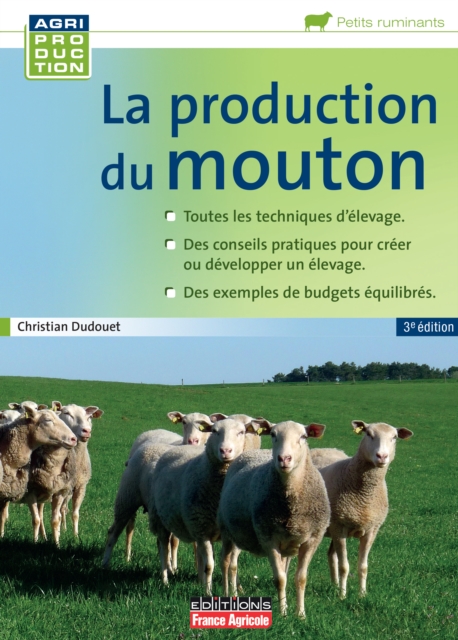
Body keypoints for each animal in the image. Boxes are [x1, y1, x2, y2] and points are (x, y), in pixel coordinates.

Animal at [52, 401, 104, 537]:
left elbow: (75, 514)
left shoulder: (81, 486)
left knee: (63, 508)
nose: (86, 431)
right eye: (67, 413)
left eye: (89, 417)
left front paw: (75, 536)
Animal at [148, 418, 260, 594]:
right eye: (214, 431)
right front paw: (208, 592)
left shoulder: (231, 533)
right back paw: (165, 580)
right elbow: (209, 566)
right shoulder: (202, 530)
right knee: (163, 549)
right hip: (160, 519)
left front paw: (234, 592)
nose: (225, 450)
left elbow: (233, 566)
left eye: (241, 432)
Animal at [218, 420, 330, 617]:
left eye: (303, 436)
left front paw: (300, 614)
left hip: (242, 534)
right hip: (226, 530)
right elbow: (280, 579)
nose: (284, 459)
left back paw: (235, 593)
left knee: (233, 564)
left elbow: (300, 579)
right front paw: (283, 613)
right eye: (273, 434)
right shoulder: (268, 538)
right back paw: (226, 594)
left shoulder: (312, 540)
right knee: (224, 561)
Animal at [319, 420, 413, 599]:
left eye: (394, 437)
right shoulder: (339, 528)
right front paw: (342, 596)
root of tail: (324, 449)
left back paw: (334, 585)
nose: (382, 456)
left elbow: (363, 567)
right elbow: (344, 566)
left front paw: (362, 595)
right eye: (368, 434)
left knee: (331, 555)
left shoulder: (371, 529)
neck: (364, 495)